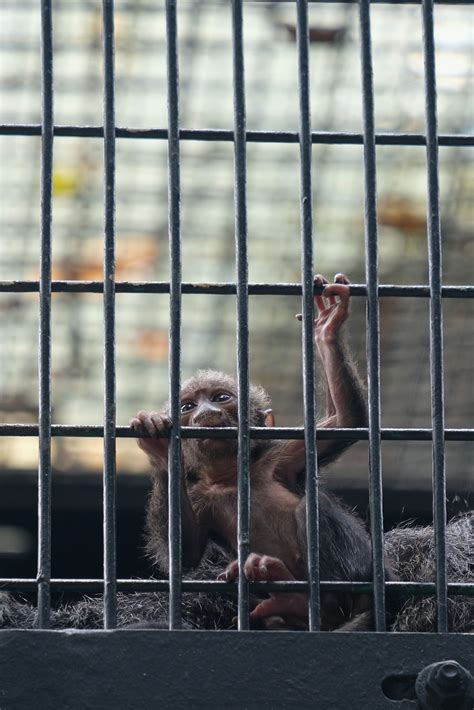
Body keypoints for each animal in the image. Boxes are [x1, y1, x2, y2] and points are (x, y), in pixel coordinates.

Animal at [130, 273, 387, 630]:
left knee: (312, 509)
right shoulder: (199, 495)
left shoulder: (281, 456)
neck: (231, 476)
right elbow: (184, 552)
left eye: (221, 398)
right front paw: (160, 446)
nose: (206, 411)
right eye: (188, 406)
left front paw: (326, 328)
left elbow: (347, 420)